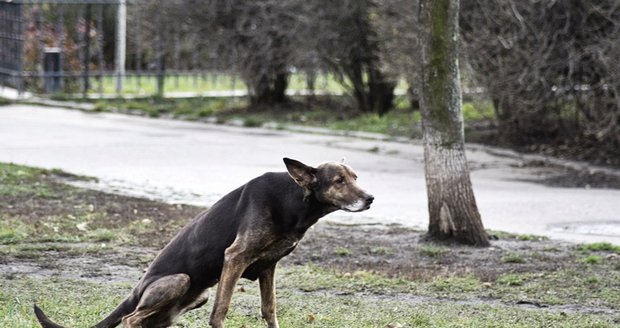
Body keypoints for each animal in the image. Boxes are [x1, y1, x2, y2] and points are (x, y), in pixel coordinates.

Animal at [35, 158, 372, 326]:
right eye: (339, 181)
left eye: (356, 177)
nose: (370, 198)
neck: (293, 199)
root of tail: (135, 291)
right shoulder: (234, 258)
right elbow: (221, 312)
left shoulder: (268, 267)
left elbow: (269, 310)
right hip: (178, 280)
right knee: (130, 319)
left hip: (192, 298)